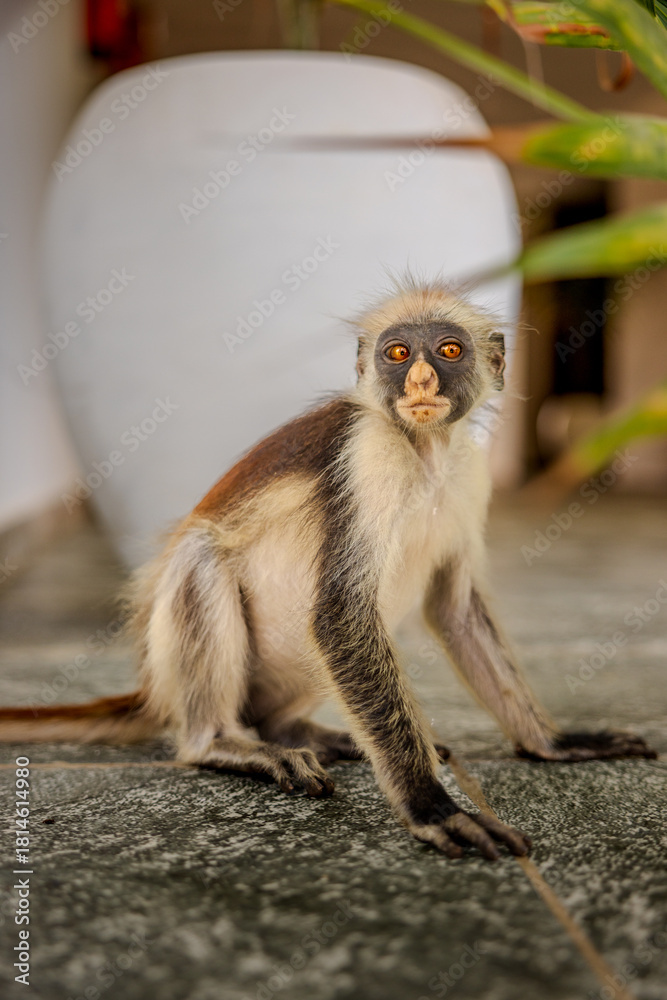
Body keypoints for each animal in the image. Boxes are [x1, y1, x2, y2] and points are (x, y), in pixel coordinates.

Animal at [0, 279, 656, 862]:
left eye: (448, 350)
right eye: (399, 353)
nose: (420, 379)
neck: (423, 453)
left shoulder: (469, 470)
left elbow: (453, 607)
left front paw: (553, 743)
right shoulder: (367, 454)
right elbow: (341, 615)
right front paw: (431, 806)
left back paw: (303, 733)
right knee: (204, 557)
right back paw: (224, 742)